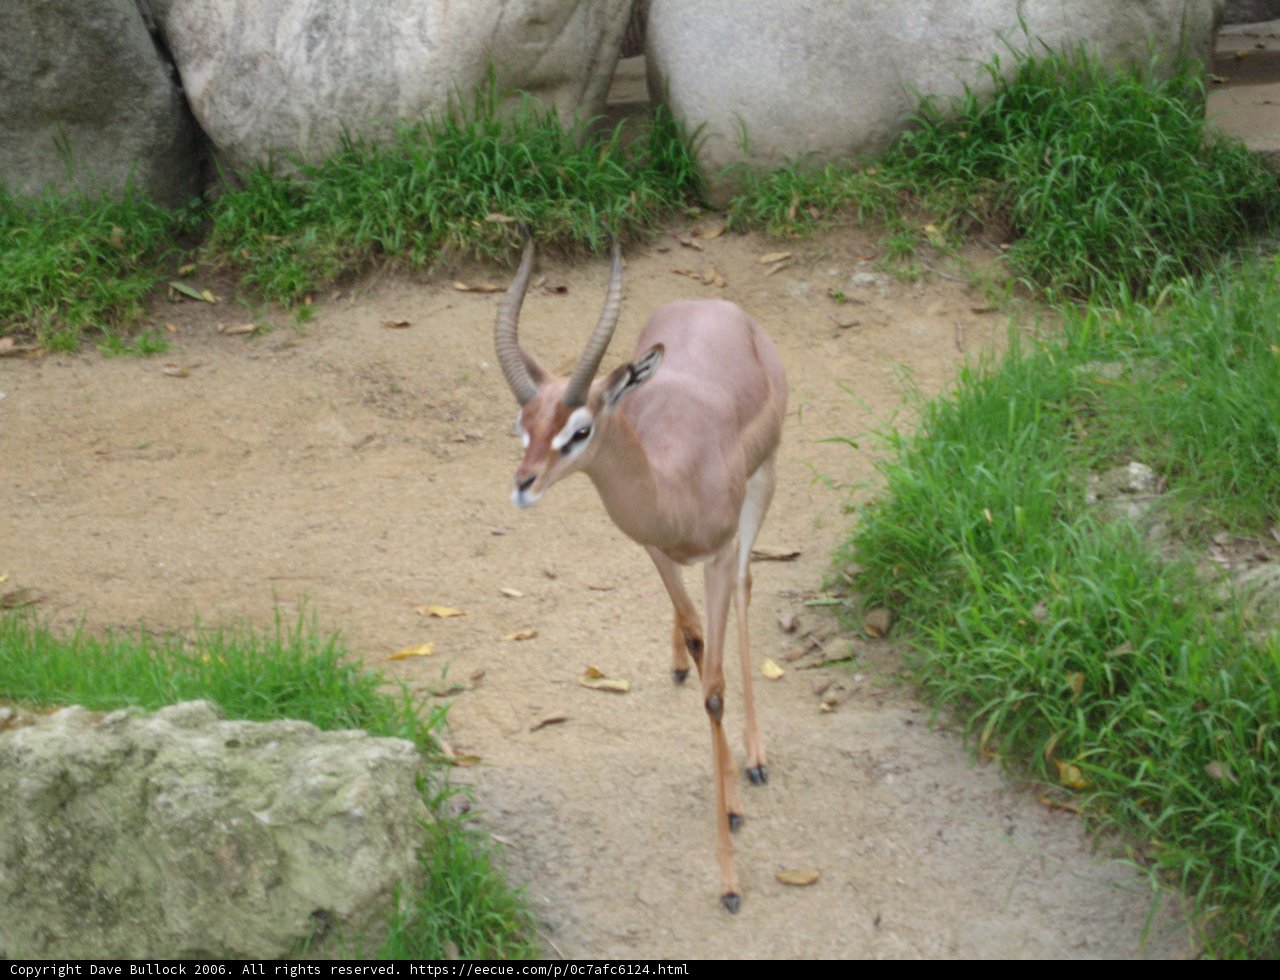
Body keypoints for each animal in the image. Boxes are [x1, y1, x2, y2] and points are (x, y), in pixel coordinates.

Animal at [494, 230, 787, 912]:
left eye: (579, 429)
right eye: (524, 424)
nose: (523, 485)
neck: (674, 481)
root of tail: (714, 305)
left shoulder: (721, 551)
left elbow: (716, 690)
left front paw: (730, 877)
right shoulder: (655, 551)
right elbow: (699, 643)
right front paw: (730, 801)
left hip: (766, 480)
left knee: (746, 590)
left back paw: (758, 756)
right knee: (695, 633)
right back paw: (679, 663)